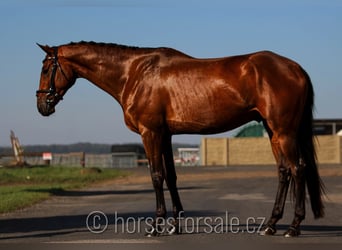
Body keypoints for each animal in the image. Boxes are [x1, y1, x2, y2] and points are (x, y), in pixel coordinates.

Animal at [36, 41, 324, 236]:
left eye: (47, 68)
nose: (42, 106)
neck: (134, 73)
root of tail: (296, 68)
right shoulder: (165, 135)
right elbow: (171, 177)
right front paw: (175, 224)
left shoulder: (150, 133)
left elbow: (156, 176)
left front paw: (155, 225)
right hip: (274, 132)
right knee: (284, 171)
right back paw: (271, 225)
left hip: (284, 131)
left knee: (298, 169)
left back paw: (294, 227)